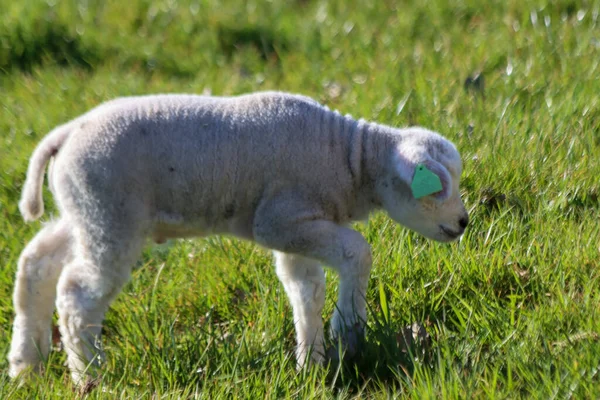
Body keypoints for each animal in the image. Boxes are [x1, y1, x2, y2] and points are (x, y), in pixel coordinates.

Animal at [9, 90, 468, 384]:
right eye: (437, 190)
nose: (464, 222)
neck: (348, 159)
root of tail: (66, 133)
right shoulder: (281, 217)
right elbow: (358, 250)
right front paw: (349, 329)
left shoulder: (296, 225)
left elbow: (306, 290)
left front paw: (311, 365)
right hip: (110, 214)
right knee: (76, 294)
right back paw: (90, 376)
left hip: (83, 210)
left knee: (37, 263)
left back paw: (26, 366)